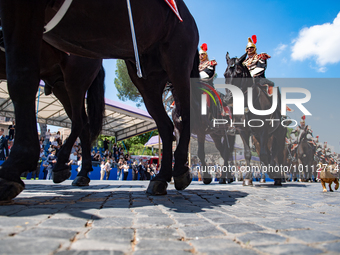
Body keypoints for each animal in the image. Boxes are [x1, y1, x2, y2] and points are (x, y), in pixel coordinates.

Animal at [0, 0, 199, 201]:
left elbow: (21, 78)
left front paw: (14, 165)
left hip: (174, 66)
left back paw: (179, 169)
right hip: (145, 78)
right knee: (165, 125)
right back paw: (161, 177)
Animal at [224, 52, 286, 186]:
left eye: (238, 73)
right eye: (225, 74)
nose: (228, 99)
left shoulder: (263, 130)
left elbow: (264, 155)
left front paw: (271, 173)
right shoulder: (243, 131)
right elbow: (248, 154)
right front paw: (247, 178)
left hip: (278, 136)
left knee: (277, 154)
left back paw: (278, 176)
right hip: (259, 138)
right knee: (270, 153)